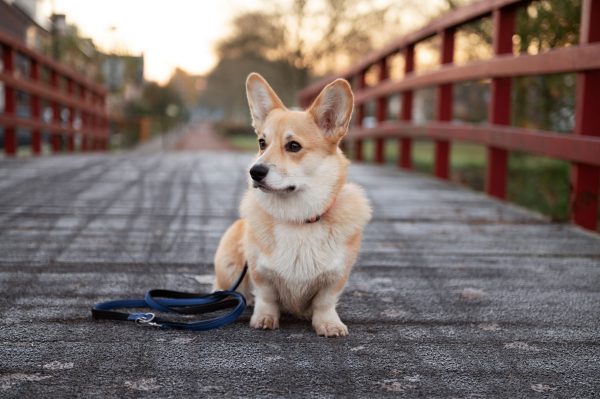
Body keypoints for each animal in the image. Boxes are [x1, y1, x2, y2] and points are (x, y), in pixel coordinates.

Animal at [211, 72, 370, 338]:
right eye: (261, 143)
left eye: (293, 146)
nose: (255, 172)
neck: (298, 218)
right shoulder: (259, 271)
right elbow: (266, 297)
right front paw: (264, 318)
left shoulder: (336, 276)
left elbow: (325, 302)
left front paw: (328, 324)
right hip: (229, 263)